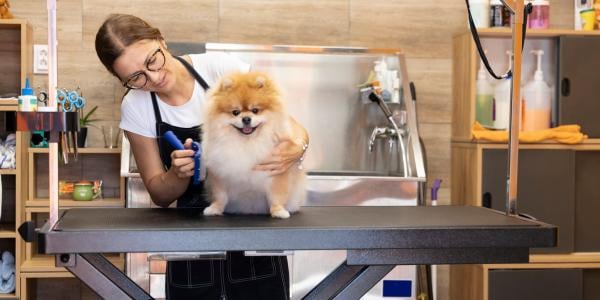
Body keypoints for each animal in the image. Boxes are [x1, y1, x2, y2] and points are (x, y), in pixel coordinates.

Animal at [203, 72, 304, 219]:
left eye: (255, 110)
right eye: (235, 112)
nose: (246, 119)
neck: (248, 143)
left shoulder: (277, 174)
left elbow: (276, 196)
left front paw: (278, 211)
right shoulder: (219, 174)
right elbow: (220, 196)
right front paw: (215, 208)